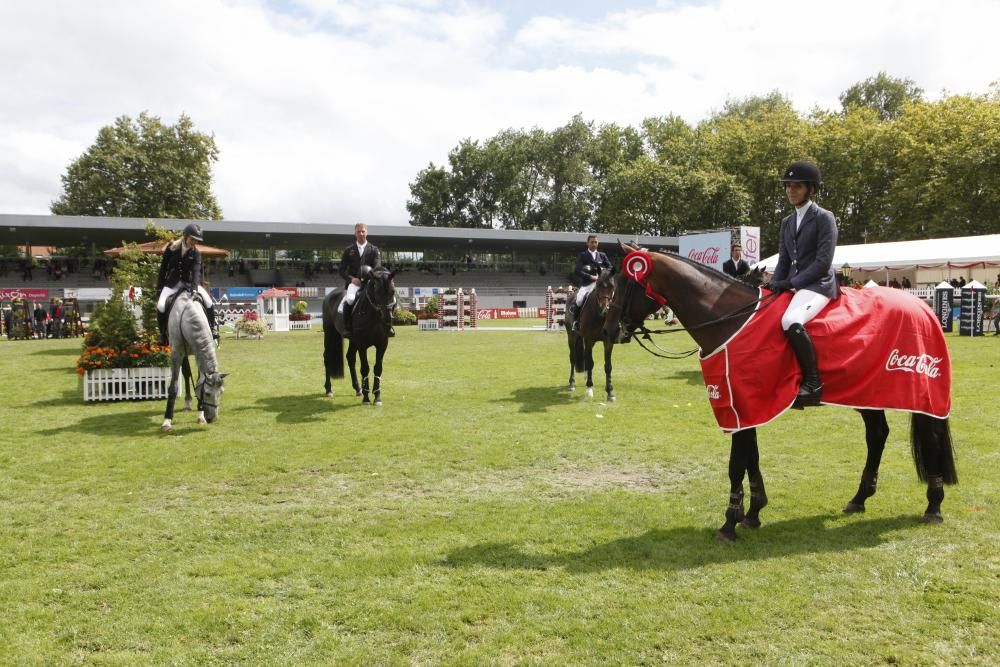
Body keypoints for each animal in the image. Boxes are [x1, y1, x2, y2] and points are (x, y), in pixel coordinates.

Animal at [162, 292, 227, 434]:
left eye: (221, 392)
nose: (212, 419)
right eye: (207, 393)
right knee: (186, 374)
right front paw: (167, 421)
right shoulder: (177, 354)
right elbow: (173, 387)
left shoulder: (198, 353)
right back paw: (187, 403)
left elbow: (199, 381)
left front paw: (201, 416)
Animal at [322, 268, 396, 404]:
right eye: (377, 291)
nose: (388, 318)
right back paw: (329, 389)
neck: (375, 316)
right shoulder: (362, 344)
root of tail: (330, 294)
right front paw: (367, 398)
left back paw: (357, 388)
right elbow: (365, 368)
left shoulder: (382, 344)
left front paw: (377, 397)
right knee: (327, 356)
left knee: (350, 357)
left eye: (393, 291)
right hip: (329, 333)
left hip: (353, 340)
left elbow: (378, 368)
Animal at [568, 268, 620, 400]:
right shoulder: (589, 340)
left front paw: (610, 392)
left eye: (612, 287)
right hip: (571, 337)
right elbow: (590, 363)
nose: (605, 309)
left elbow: (608, 366)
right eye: (598, 286)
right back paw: (572, 383)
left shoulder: (608, 342)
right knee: (573, 358)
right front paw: (589, 389)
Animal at [604, 245, 956, 544]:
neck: (731, 319)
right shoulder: (744, 406)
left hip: (921, 395)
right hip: (868, 393)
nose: (607, 330)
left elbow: (736, 463)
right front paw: (753, 513)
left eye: (624, 284)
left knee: (930, 439)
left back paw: (934, 507)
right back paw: (859, 499)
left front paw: (729, 523)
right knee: (877, 434)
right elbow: (751, 458)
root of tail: (922, 307)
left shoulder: (740, 405)